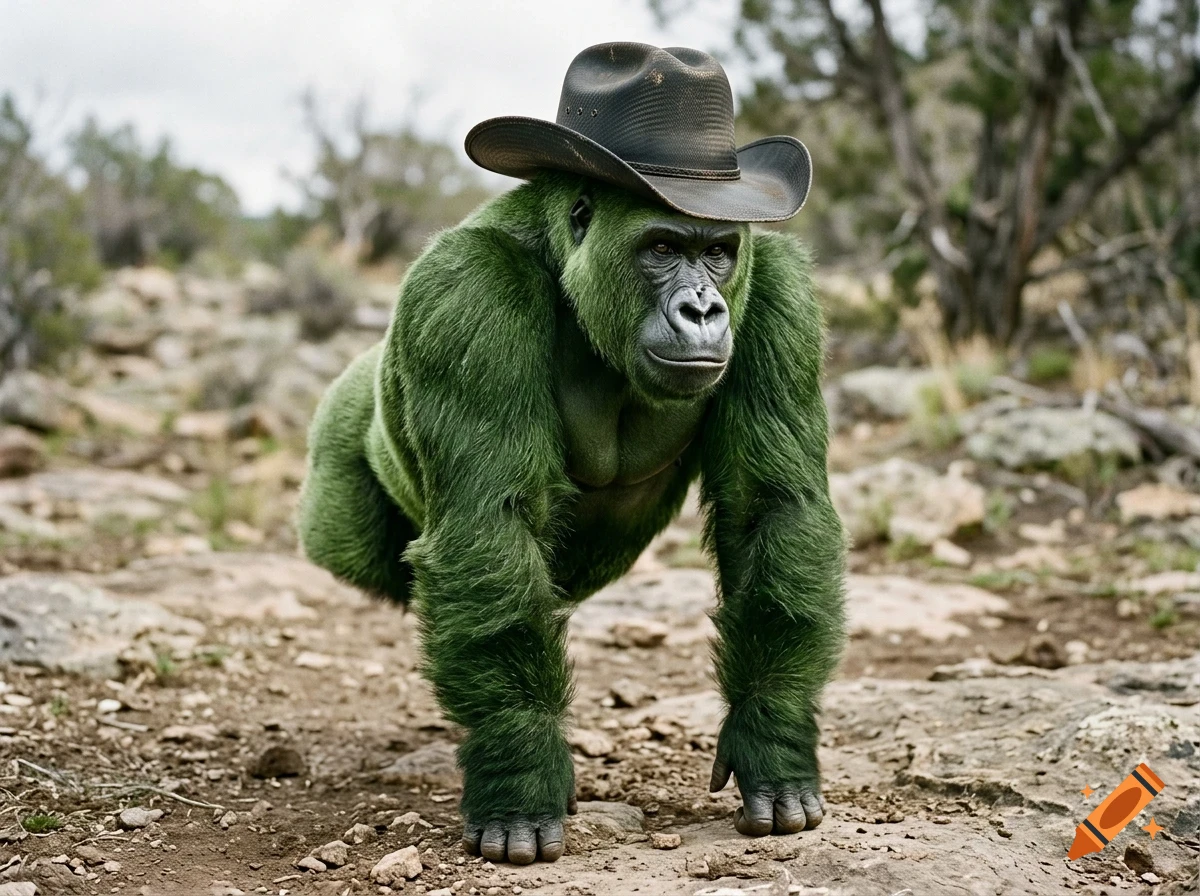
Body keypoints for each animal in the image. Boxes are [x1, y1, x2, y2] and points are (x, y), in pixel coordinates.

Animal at [297, 170, 847, 865]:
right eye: (661, 248)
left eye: (718, 253)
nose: (702, 310)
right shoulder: (465, 286)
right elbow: (491, 524)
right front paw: (520, 767)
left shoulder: (778, 290)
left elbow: (768, 509)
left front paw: (771, 734)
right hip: (337, 461)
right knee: (352, 541)